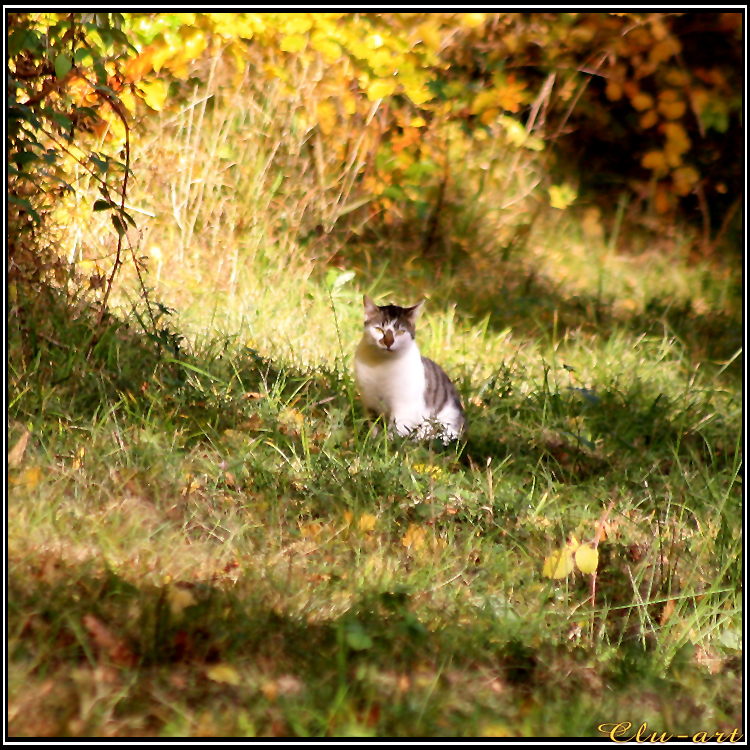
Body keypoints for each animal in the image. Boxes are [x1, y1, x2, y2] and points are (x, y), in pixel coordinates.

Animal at [356, 296, 468, 444]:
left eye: (400, 332)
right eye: (379, 330)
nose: (388, 342)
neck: (381, 365)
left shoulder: (403, 408)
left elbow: (395, 432)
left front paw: (387, 444)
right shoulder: (370, 403)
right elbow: (374, 428)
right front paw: (372, 441)